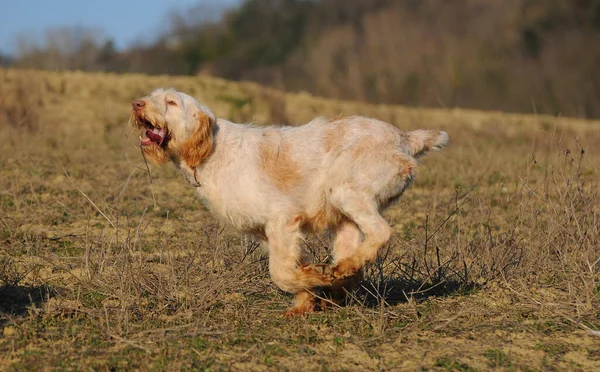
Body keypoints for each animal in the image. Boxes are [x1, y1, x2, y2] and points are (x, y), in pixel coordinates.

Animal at [131, 88, 450, 316]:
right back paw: (338, 280)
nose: (137, 104)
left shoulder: (281, 219)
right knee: (354, 256)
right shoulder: (270, 232)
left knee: (382, 232)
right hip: (344, 218)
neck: (212, 150)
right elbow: (292, 265)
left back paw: (341, 270)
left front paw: (314, 279)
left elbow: (281, 273)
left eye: (171, 102)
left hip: (344, 192)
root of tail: (404, 138)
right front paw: (306, 298)